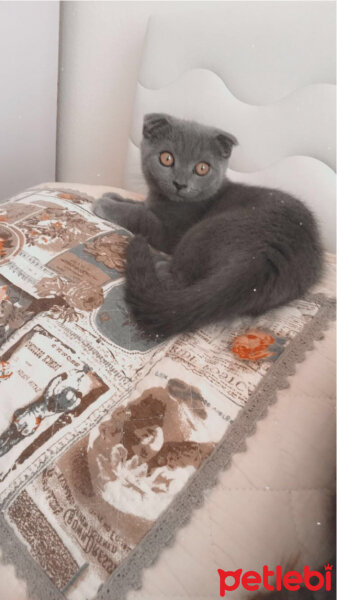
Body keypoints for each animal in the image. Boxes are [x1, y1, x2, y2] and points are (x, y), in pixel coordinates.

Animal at [92, 112, 322, 338]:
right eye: (166, 158)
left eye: (202, 168)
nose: (180, 184)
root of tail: (263, 262)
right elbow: (140, 205)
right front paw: (114, 196)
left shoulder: (171, 232)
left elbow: (141, 215)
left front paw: (105, 205)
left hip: (200, 232)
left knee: (179, 280)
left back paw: (159, 263)